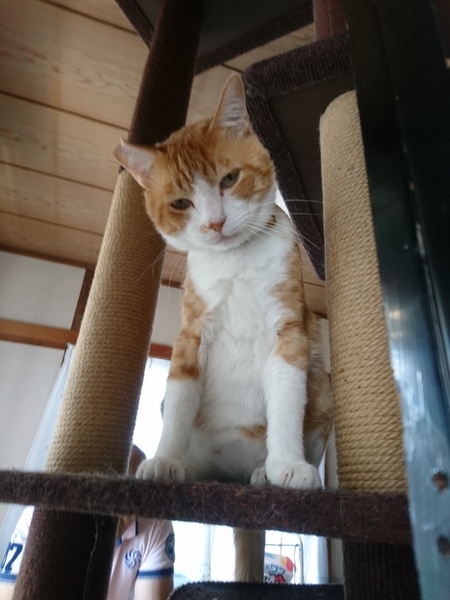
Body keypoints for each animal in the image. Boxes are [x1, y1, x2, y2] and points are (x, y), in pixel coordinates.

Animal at [114, 73, 333, 581]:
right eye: (181, 202)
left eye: (229, 179)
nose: (214, 223)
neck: (237, 263)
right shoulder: (190, 336)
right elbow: (179, 401)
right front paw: (165, 460)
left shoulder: (289, 332)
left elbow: (287, 400)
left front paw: (286, 464)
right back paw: (190, 470)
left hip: (324, 390)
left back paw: (263, 473)